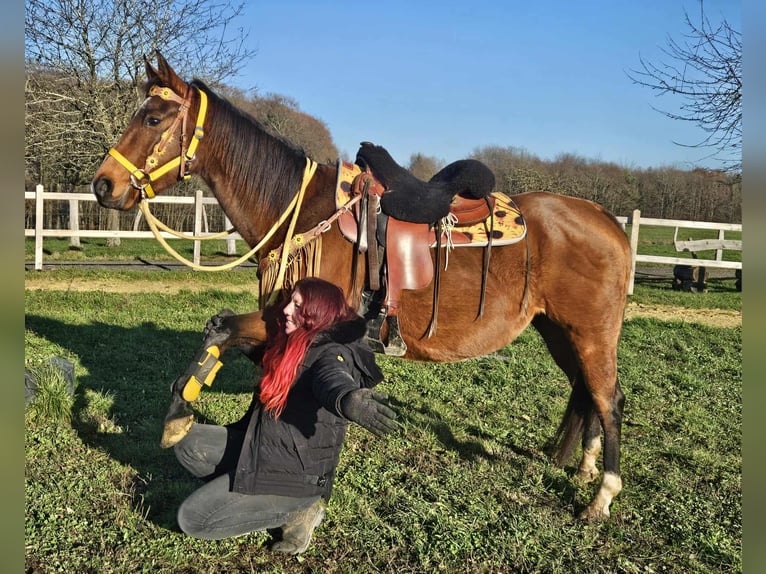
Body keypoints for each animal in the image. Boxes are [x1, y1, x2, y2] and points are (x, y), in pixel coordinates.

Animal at [92, 51, 631, 521]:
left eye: (153, 119)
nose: (102, 185)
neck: (302, 209)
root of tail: (607, 218)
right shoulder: (280, 318)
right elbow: (222, 329)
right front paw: (180, 412)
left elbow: (226, 331)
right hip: (560, 332)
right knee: (588, 393)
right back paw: (585, 468)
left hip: (590, 333)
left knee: (610, 400)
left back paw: (601, 497)